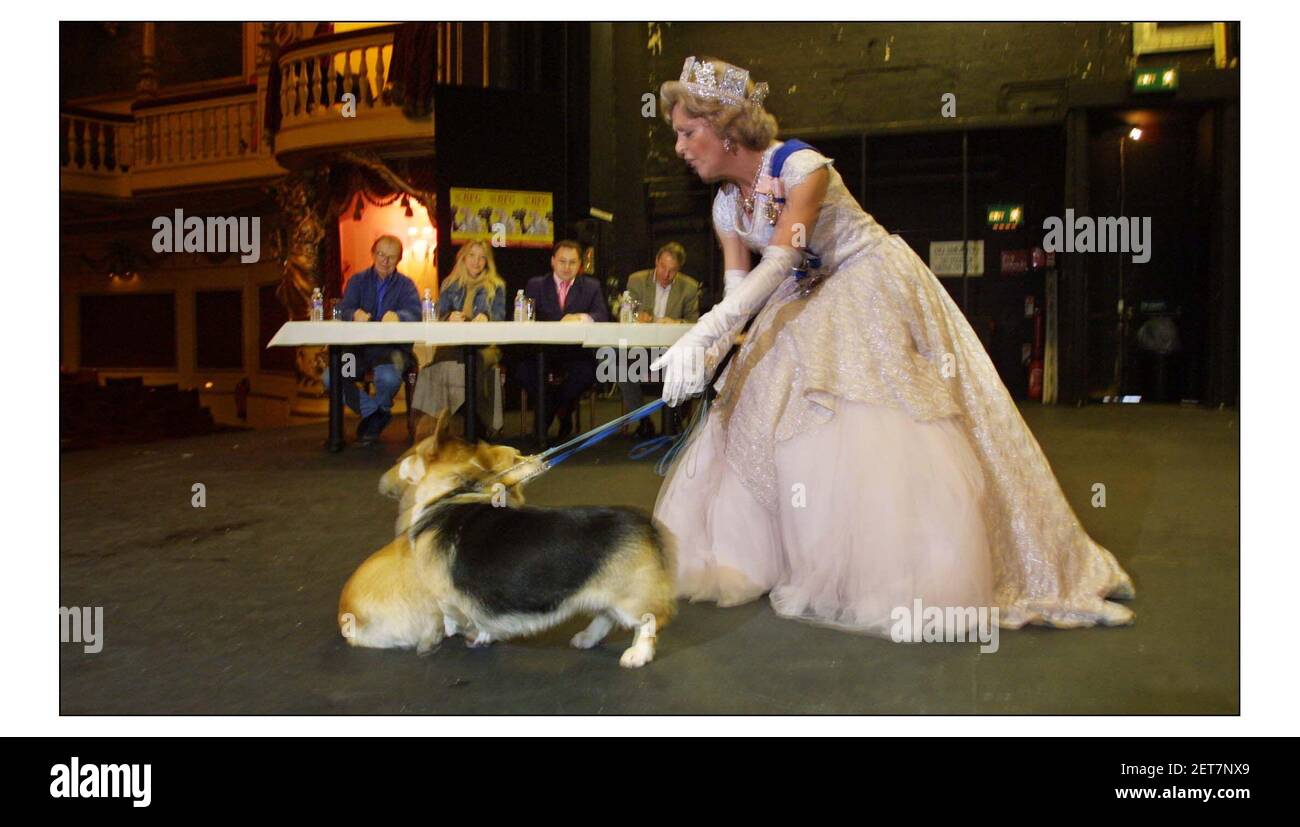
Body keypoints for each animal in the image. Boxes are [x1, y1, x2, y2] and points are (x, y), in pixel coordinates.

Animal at [340, 418, 676, 665]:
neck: (448, 495)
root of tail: (646, 524)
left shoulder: (447, 594)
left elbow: (458, 617)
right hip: (603, 591)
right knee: (605, 616)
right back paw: (586, 638)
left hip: (630, 597)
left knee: (649, 620)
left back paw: (637, 654)